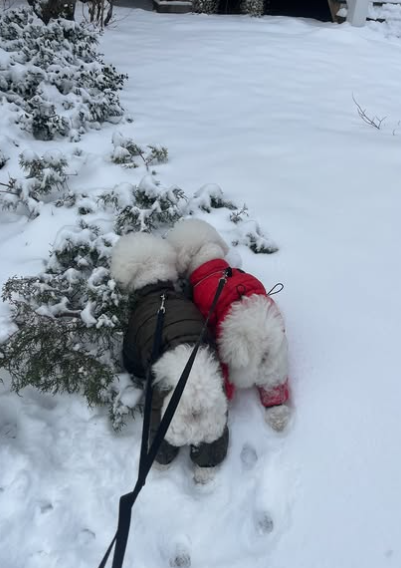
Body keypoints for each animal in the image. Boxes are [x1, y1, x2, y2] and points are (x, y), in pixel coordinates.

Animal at [109, 231, 228, 474]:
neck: (157, 288)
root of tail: (195, 405)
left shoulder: (132, 343)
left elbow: (131, 362)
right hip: (215, 435)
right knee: (208, 460)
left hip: (158, 427)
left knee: (161, 456)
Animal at [166, 217, 290, 430]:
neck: (210, 262)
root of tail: (262, 339)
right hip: (275, 367)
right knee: (275, 393)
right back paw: (278, 418)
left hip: (228, 359)